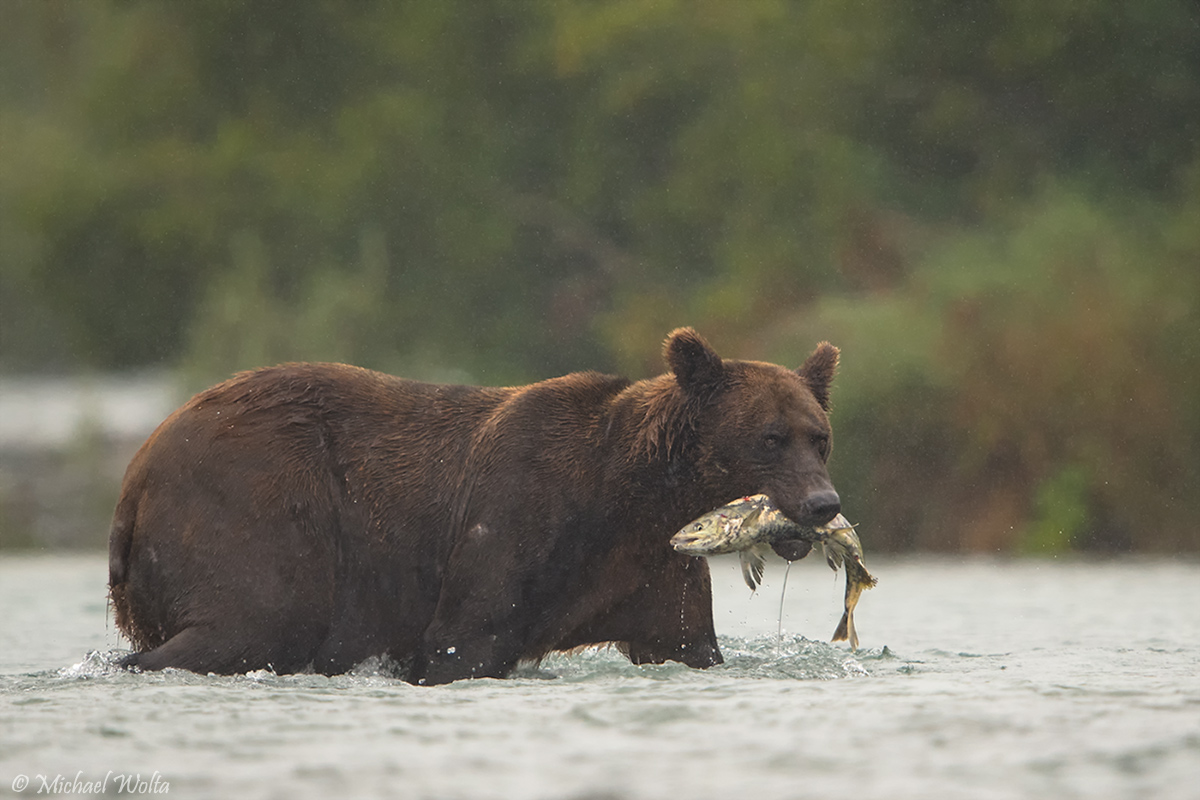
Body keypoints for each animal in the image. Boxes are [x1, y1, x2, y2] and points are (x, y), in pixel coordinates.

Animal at [110, 328, 844, 686]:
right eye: (769, 438)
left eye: (820, 437)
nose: (822, 504)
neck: (629, 498)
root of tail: (139, 467)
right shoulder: (515, 513)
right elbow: (465, 636)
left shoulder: (651, 569)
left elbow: (684, 640)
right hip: (253, 505)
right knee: (255, 620)